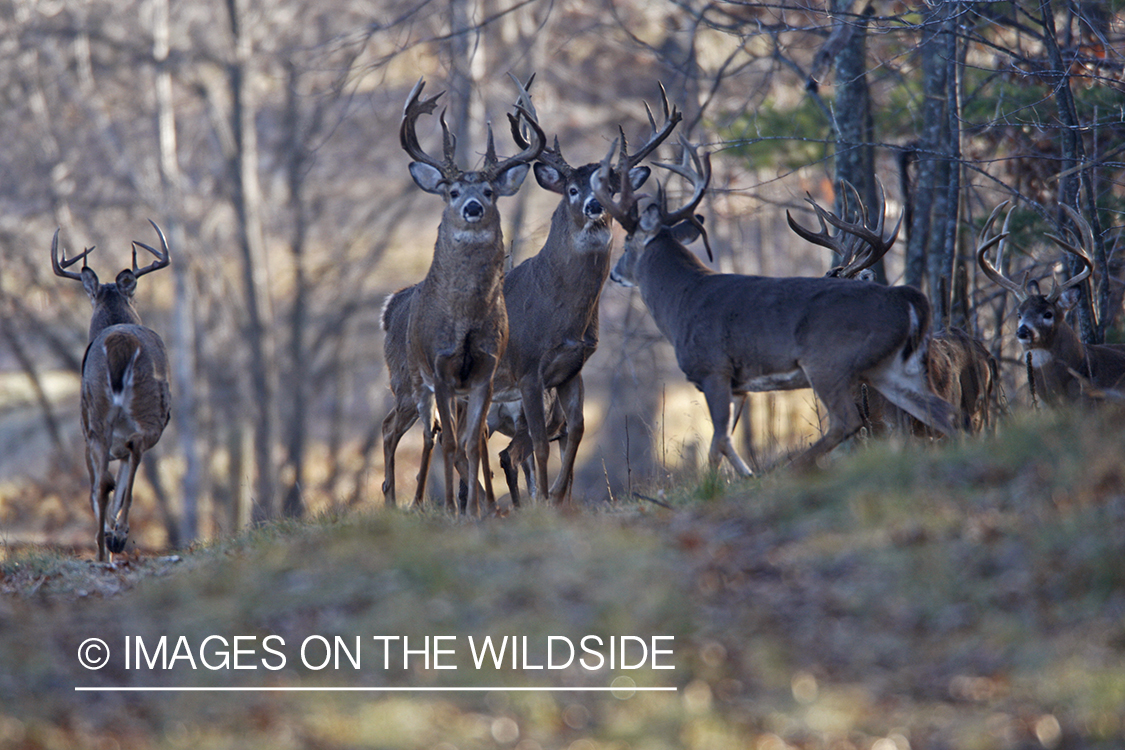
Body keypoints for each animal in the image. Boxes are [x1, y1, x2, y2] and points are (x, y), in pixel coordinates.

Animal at [52, 220, 171, 559]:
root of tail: (120, 342)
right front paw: (113, 533)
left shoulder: (86, 434)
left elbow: (102, 487)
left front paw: (109, 535)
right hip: (125, 414)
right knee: (129, 455)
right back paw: (116, 537)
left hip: (100, 415)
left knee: (105, 480)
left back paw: (109, 543)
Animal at [398, 79, 542, 517]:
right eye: (453, 190)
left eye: (490, 190)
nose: (474, 206)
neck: (464, 322)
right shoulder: (441, 369)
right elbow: (449, 443)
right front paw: (453, 509)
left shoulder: (484, 371)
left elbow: (473, 444)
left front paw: (478, 511)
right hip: (417, 382)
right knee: (429, 437)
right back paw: (433, 502)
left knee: (468, 438)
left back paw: (479, 503)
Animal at [594, 140, 954, 474]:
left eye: (627, 243)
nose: (614, 273)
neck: (681, 300)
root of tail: (906, 297)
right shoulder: (739, 385)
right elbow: (721, 441)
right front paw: (737, 478)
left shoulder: (713, 368)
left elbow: (718, 440)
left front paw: (721, 483)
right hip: (892, 367)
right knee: (941, 412)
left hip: (829, 361)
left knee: (847, 421)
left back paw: (791, 470)